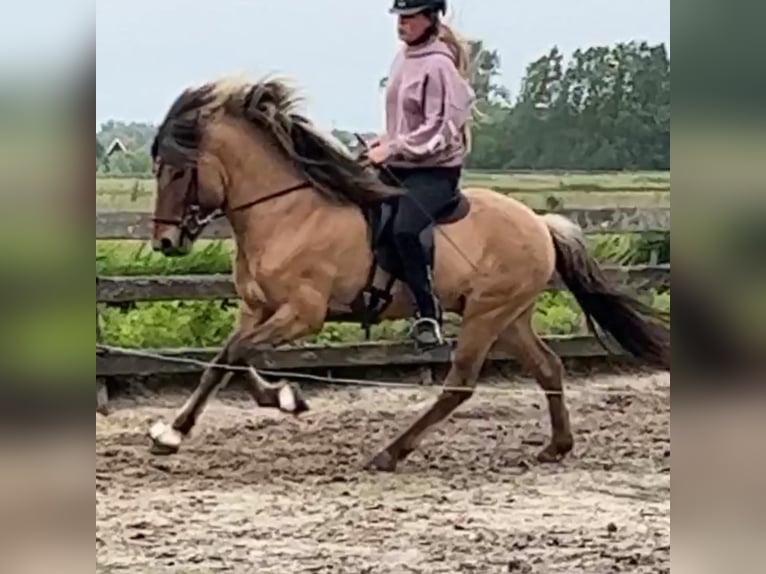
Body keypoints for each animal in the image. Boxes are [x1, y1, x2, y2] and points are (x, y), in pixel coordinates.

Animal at [146, 75, 672, 472]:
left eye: (177, 170)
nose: (166, 242)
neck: (287, 212)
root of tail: (540, 223)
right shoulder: (257, 307)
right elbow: (224, 360)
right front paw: (185, 428)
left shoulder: (303, 313)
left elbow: (237, 354)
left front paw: (276, 400)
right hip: (508, 318)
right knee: (548, 367)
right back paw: (556, 447)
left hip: (486, 315)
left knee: (460, 384)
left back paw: (389, 452)